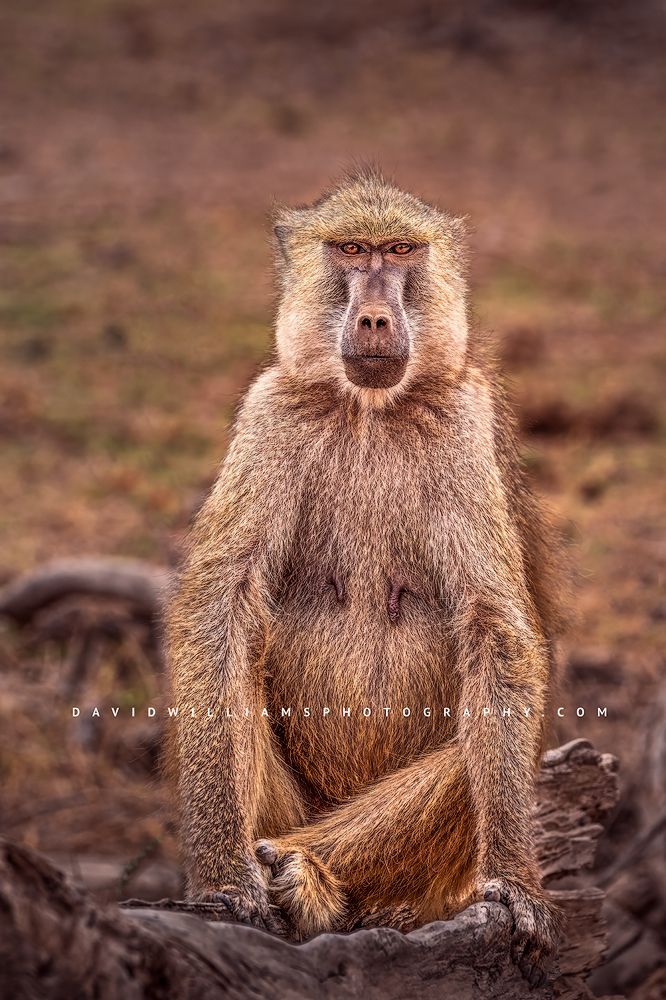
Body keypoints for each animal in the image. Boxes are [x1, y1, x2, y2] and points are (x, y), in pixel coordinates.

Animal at [166, 169, 567, 987]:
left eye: (401, 251)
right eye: (351, 251)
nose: (377, 317)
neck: (370, 410)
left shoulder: (462, 421)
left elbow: (496, 631)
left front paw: (516, 884)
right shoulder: (271, 411)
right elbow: (221, 608)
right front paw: (223, 877)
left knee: (476, 747)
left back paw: (309, 878)